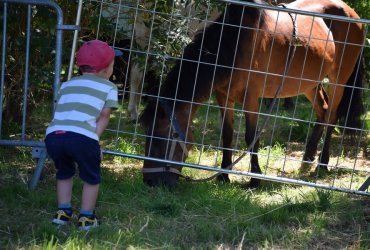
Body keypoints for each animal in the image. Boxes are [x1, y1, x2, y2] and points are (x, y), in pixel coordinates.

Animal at [140, 0, 366, 188]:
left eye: (159, 139)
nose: (150, 181)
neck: (235, 43)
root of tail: (352, 14)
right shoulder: (224, 97)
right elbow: (227, 134)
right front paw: (223, 175)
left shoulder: (251, 98)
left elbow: (251, 136)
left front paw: (255, 178)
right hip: (309, 83)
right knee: (323, 110)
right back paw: (307, 159)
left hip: (339, 79)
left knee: (332, 115)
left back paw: (322, 164)